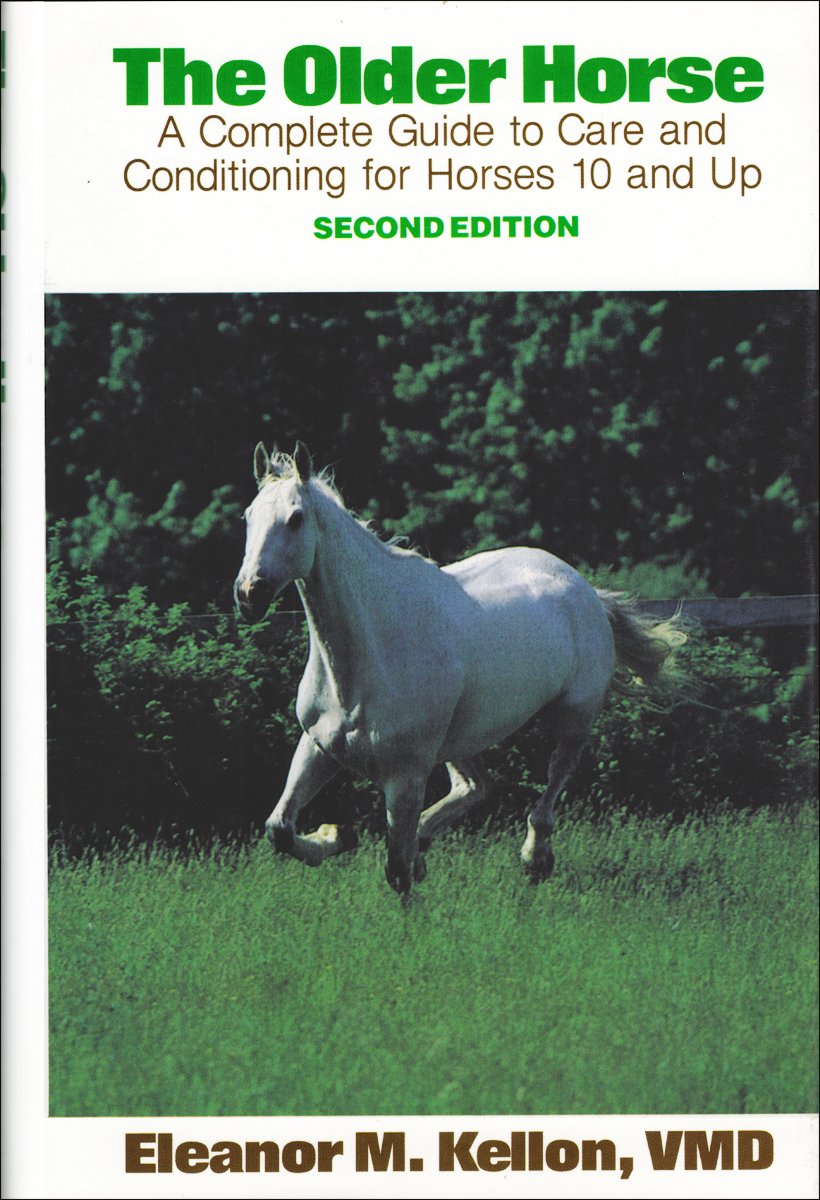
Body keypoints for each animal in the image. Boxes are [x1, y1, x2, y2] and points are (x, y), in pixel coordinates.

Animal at [234, 441, 686, 894]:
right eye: (248, 516)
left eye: (295, 519)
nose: (249, 594)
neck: (367, 659)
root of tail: (585, 588)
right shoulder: (318, 746)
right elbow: (279, 828)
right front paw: (338, 835)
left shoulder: (406, 775)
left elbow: (396, 871)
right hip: (461, 739)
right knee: (476, 786)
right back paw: (425, 843)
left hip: (574, 717)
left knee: (553, 781)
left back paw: (534, 857)